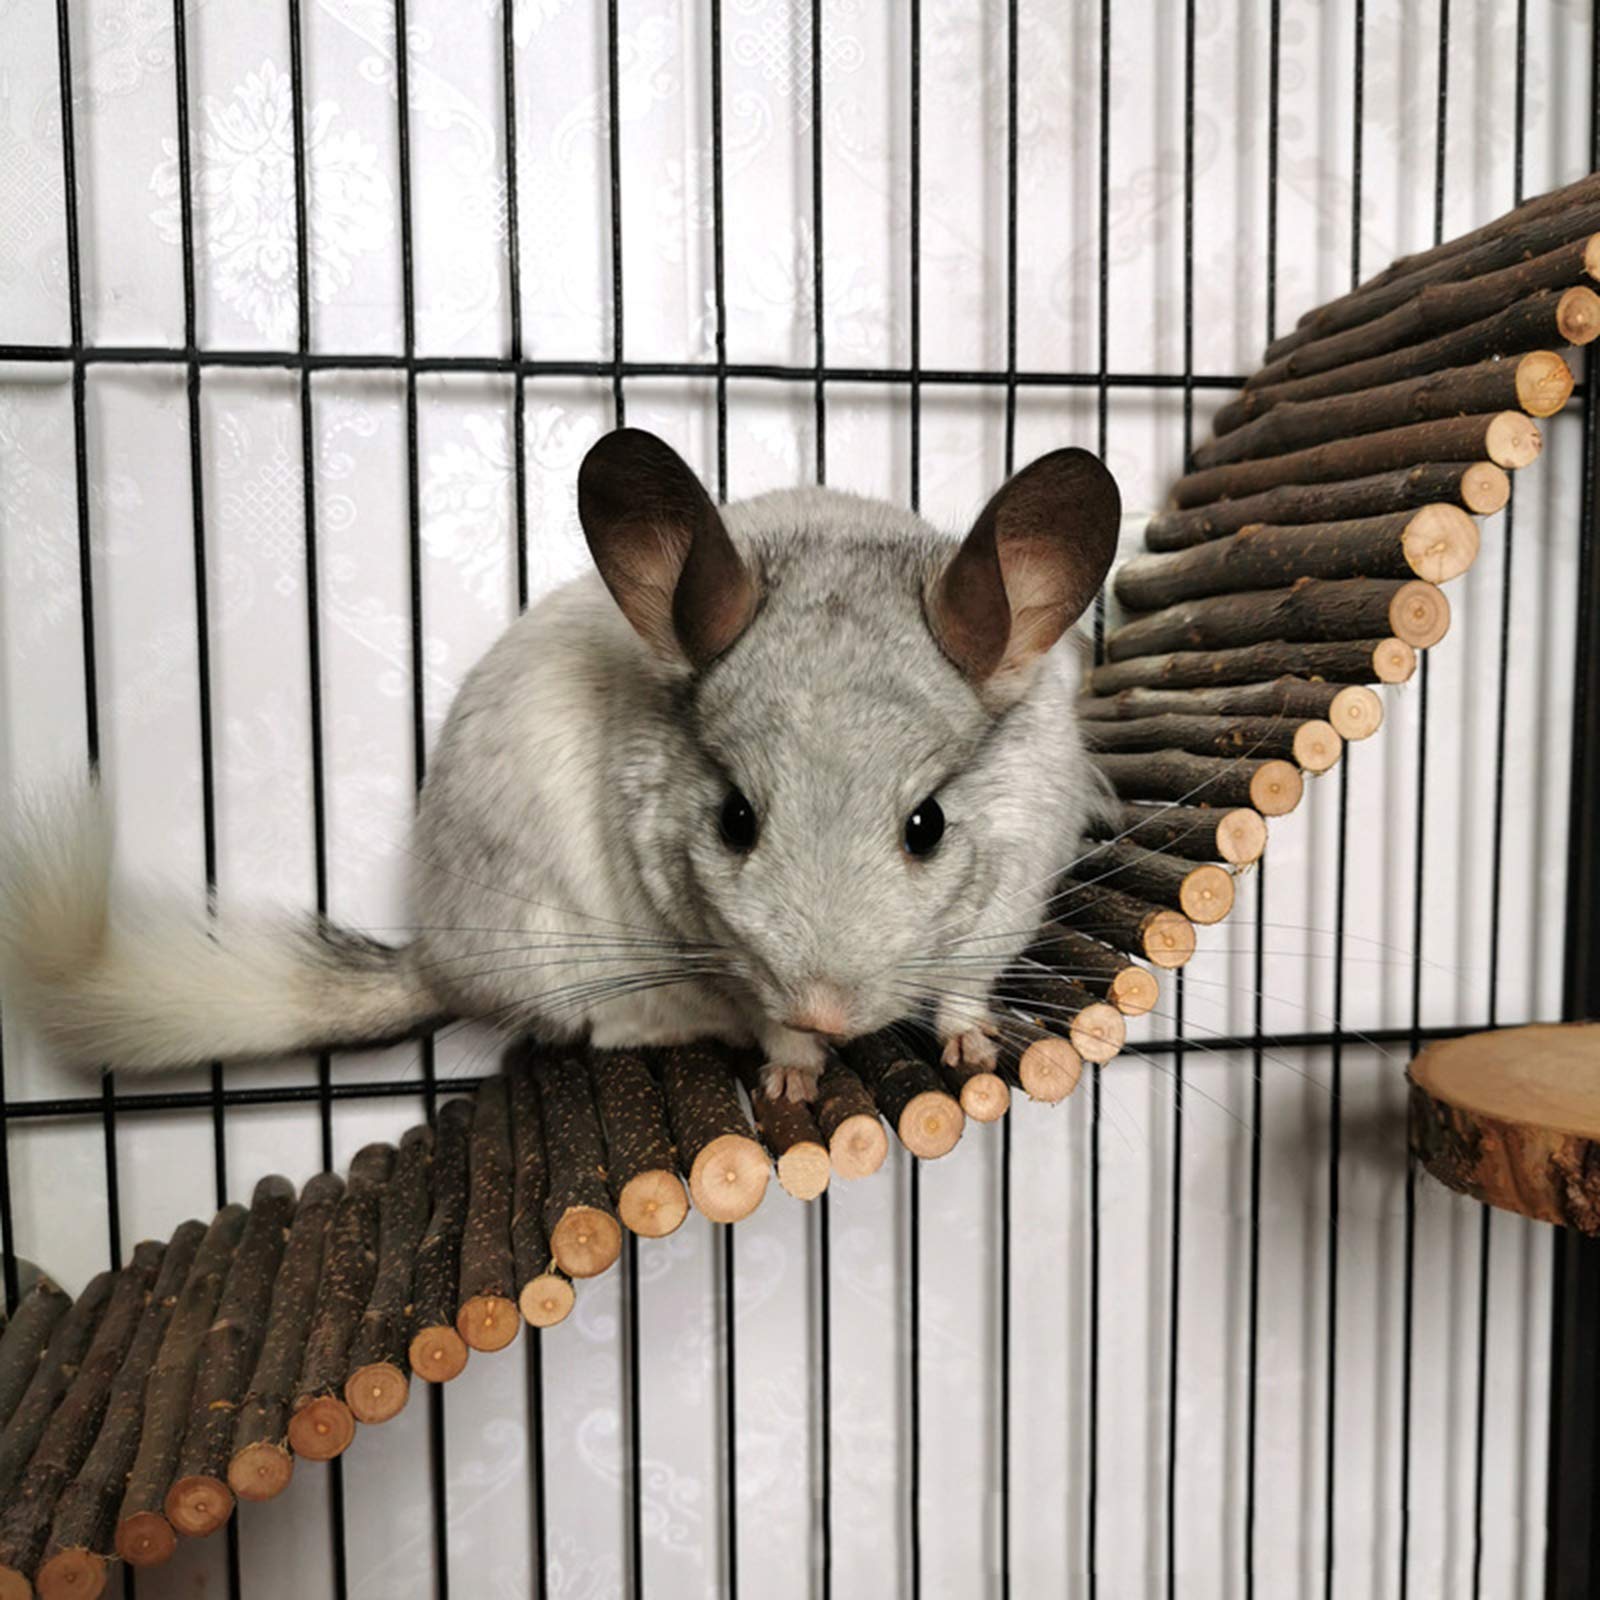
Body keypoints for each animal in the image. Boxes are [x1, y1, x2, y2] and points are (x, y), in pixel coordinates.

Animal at [0, 428, 1120, 1103]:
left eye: (927, 824)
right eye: (734, 819)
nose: (824, 1009)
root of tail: (439, 952)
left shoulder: (1008, 898)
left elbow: (966, 990)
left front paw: (972, 1046)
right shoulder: (707, 937)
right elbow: (764, 1026)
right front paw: (794, 1072)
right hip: (553, 932)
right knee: (600, 1022)